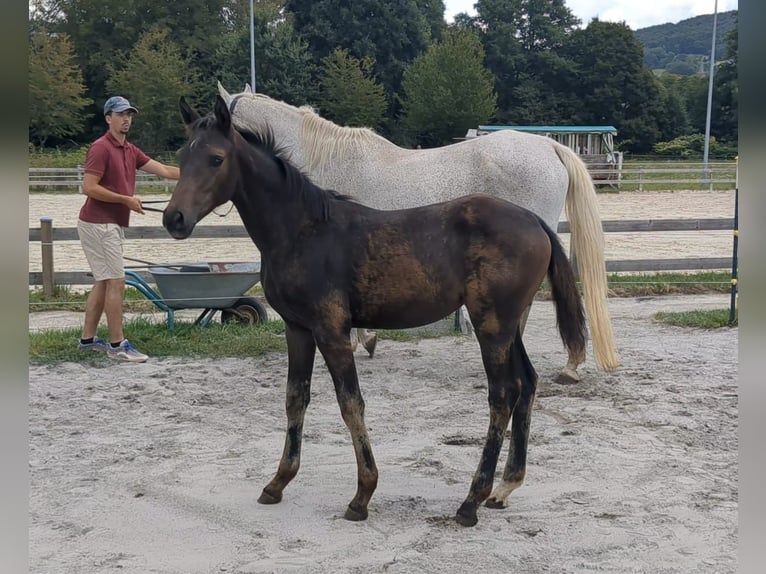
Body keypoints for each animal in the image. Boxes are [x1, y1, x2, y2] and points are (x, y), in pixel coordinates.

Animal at [163, 95, 590, 527]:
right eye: (182, 155)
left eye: (216, 158)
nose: (173, 219)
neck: (302, 230)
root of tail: (534, 221)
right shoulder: (297, 329)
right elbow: (295, 398)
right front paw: (278, 482)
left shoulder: (331, 329)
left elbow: (351, 403)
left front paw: (362, 495)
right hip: (507, 325)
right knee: (528, 383)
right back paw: (504, 488)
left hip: (492, 325)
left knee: (503, 395)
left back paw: (471, 501)